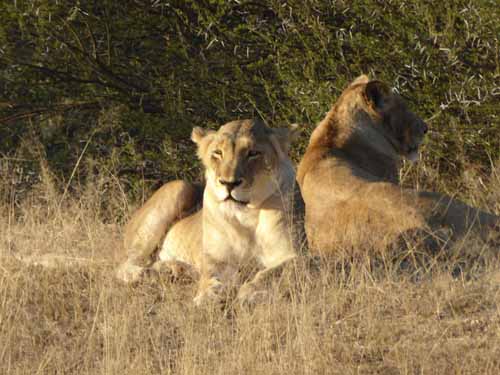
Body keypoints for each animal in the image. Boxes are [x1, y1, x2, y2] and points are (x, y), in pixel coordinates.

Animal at [117, 119, 304, 306]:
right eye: (218, 153)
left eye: (253, 153)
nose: (229, 183)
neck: (245, 215)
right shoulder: (216, 258)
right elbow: (210, 276)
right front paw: (206, 296)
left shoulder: (298, 256)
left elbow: (271, 274)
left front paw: (251, 292)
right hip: (179, 186)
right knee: (125, 264)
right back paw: (146, 274)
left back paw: (174, 270)